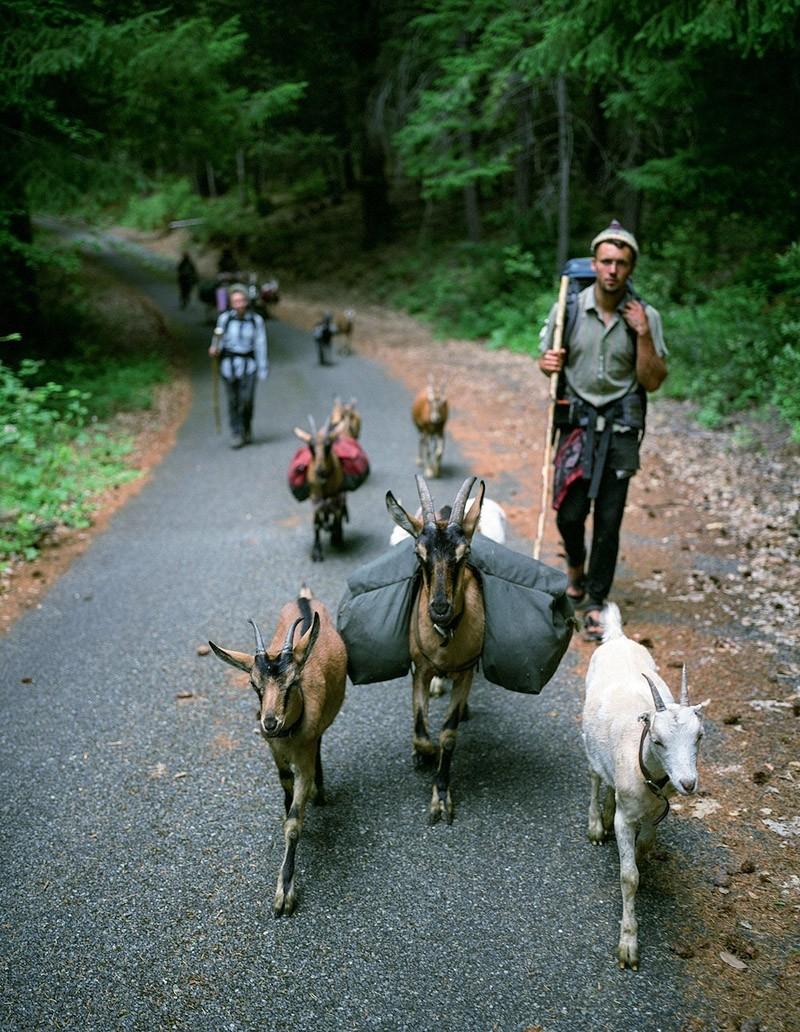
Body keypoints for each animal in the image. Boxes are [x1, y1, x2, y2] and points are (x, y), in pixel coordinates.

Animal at [208, 586, 344, 916]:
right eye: (252, 683)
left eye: (293, 681)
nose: (270, 722)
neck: (289, 738)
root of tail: (304, 597)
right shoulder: (276, 754)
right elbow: (285, 788)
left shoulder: (304, 759)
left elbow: (294, 823)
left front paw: (285, 893)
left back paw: (320, 792)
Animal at [293, 416, 344, 565]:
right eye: (310, 446)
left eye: (329, 445)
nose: (320, 470)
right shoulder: (315, 498)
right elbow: (315, 524)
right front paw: (316, 552)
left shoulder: (336, 496)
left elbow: (337, 514)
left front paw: (336, 536)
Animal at [384, 472, 485, 821]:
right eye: (419, 554)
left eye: (464, 554)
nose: (439, 608)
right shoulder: (421, 669)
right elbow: (420, 728)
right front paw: (423, 755)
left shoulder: (465, 672)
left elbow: (448, 735)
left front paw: (441, 796)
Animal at [582, 602, 706, 970]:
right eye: (658, 740)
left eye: (699, 735)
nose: (688, 783)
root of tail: (618, 638)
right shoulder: (627, 819)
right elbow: (628, 876)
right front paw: (628, 946)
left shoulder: (657, 809)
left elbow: (647, 844)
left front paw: (641, 855)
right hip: (588, 740)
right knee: (594, 776)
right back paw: (596, 824)